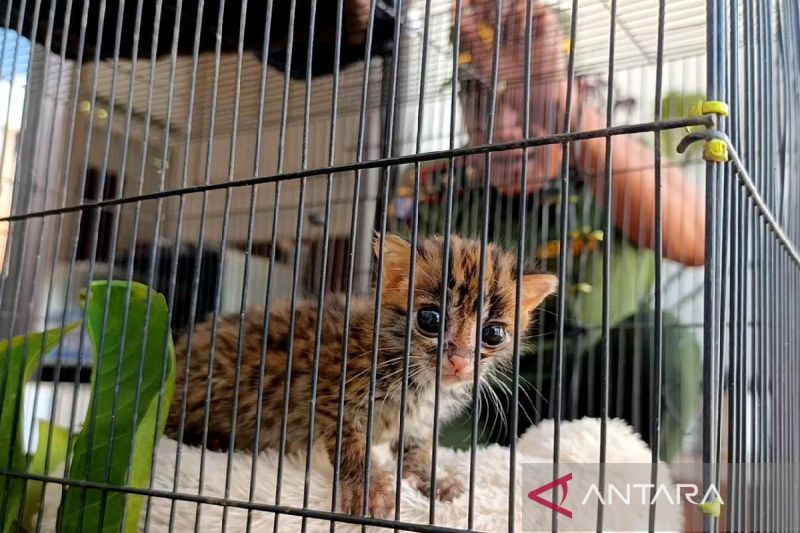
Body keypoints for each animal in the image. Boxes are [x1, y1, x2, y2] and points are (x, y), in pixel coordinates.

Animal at [165, 233, 557, 518]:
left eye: (493, 334)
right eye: (429, 320)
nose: (459, 361)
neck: (419, 382)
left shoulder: (418, 424)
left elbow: (418, 452)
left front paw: (435, 483)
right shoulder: (332, 399)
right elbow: (352, 447)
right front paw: (369, 489)